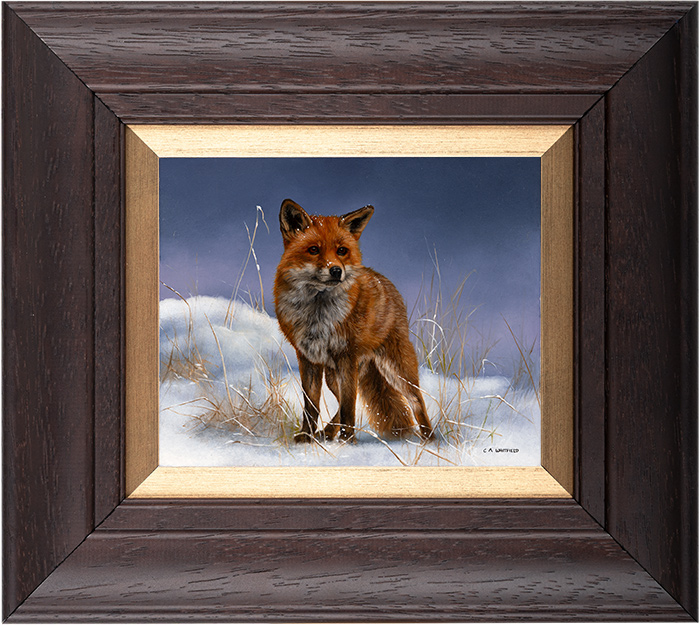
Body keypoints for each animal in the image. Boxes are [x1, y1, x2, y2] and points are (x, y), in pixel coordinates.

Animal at [273, 198, 434, 443]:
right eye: (313, 250)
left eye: (342, 251)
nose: (336, 270)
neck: (318, 315)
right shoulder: (308, 359)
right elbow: (312, 407)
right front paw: (306, 437)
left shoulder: (346, 357)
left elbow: (349, 406)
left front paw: (347, 440)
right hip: (333, 375)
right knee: (342, 401)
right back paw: (327, 432)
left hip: (395, 369)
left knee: (416, 400)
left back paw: (431, 439)